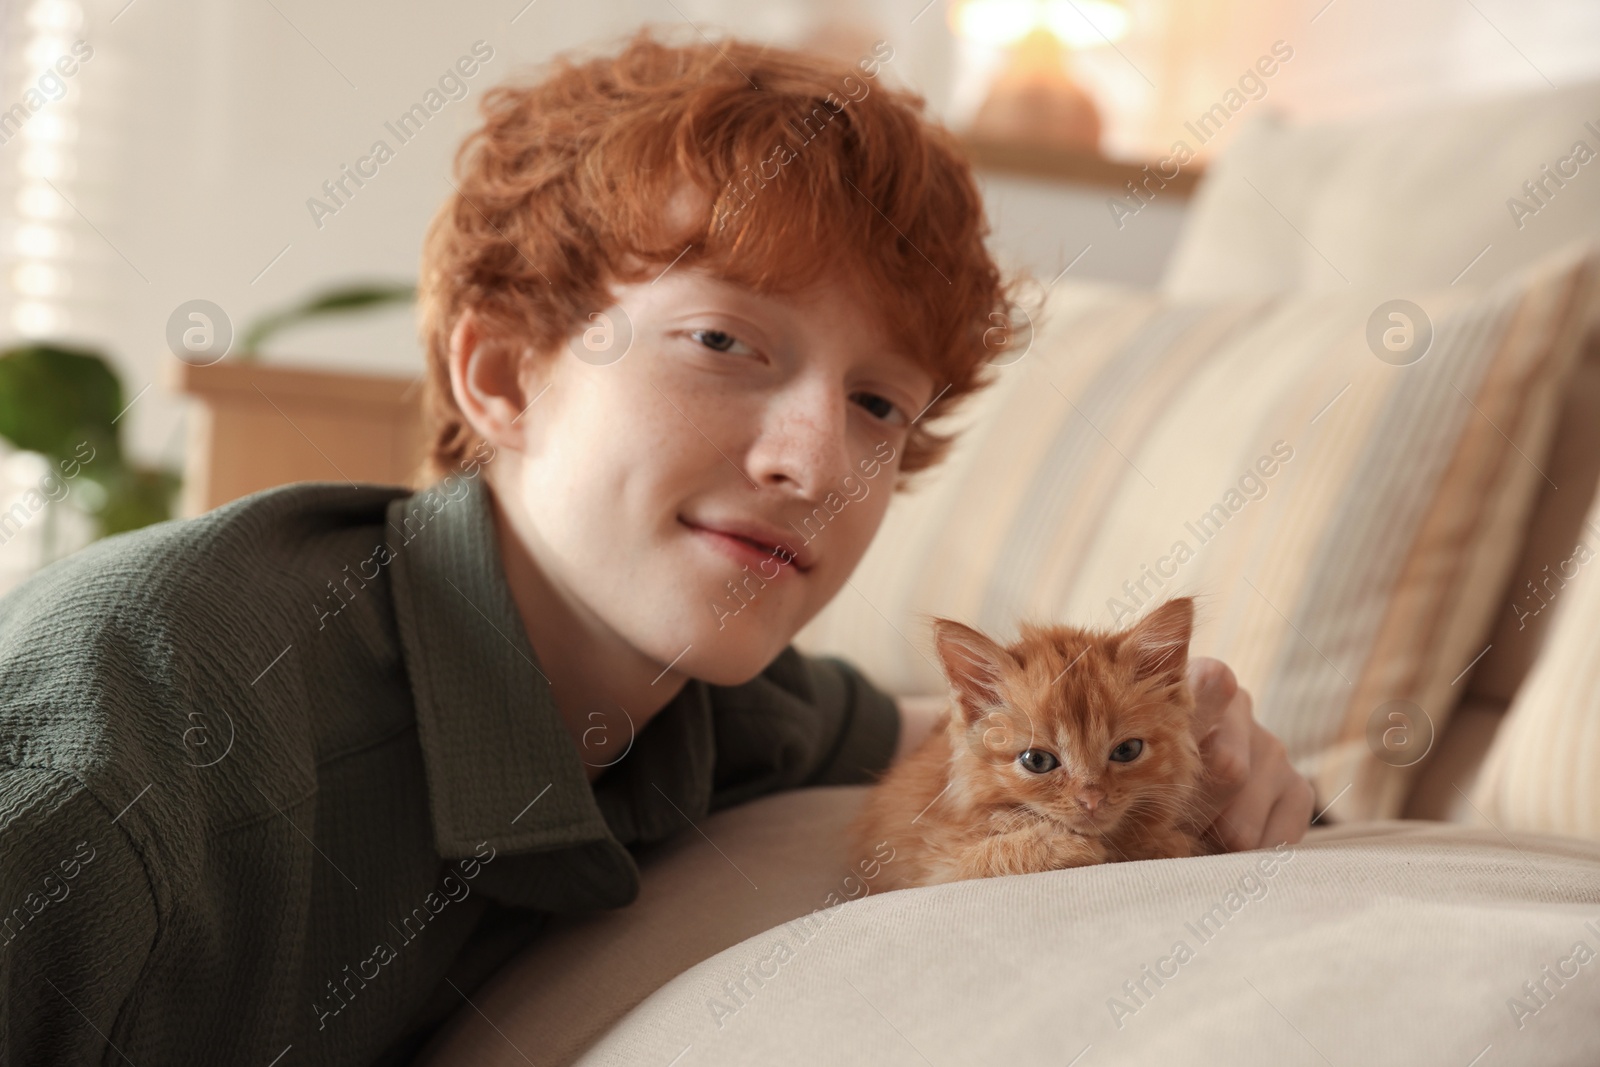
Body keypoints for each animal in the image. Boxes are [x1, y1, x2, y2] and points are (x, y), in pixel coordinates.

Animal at [857, 598, 1216, 889]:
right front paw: (1068, 847)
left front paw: (1153, 843)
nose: (1092, 799)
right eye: (1036, 761)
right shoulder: (933, 868)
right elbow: (993, 853)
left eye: (1127, 751)